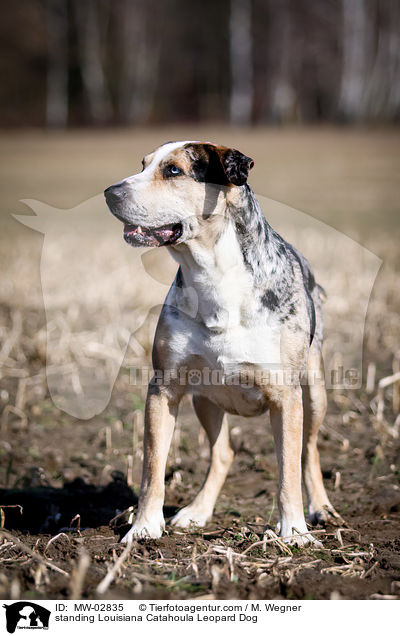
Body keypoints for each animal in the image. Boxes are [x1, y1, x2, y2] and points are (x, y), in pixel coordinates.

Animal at [104, 142, 340, 544]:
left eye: (174, 171)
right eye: (143, 164)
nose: (109, 192)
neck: (213, 274)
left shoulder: (286, 395)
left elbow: (288, 469)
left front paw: (294, 532)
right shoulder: (164, 388)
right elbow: (153, 467)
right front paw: (144, 528)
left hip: (314, 390)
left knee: (308, 450)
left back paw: (321, 508)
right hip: (206, 399)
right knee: (224, 452)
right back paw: (197, 512)